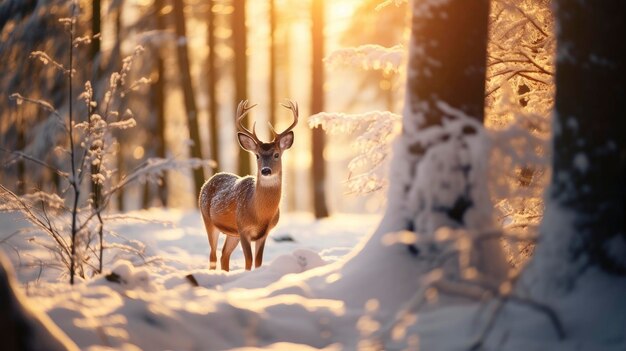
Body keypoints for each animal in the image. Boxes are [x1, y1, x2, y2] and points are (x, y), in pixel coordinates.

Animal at [199, 99, 298, 272]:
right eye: (257, 155)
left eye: (276, 154)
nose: (266, 170)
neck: (259, 214)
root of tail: (208, 181)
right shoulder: (243, 229)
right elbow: (248, 261)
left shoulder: (263, 234)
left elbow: (258, 261)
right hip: (208, 220)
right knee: (213, 256)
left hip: (232, 233)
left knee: (224, 255)